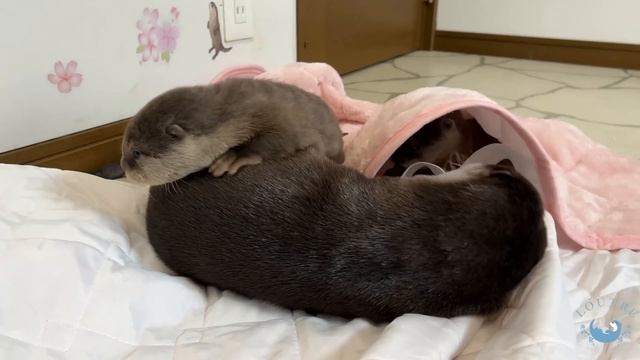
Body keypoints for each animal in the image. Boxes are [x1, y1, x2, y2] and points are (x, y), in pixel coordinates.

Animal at [118, 79, 342, 186]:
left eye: (136, 152)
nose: (123, 168)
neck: (233, 115)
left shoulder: (279, 117)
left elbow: (280, 138)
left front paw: (233, 156)